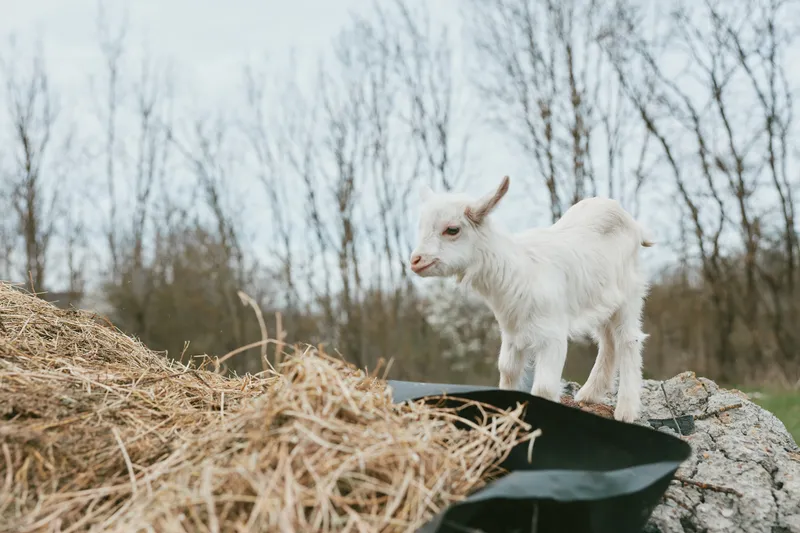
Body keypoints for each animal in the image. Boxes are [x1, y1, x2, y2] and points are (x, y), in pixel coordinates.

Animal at [409, 175, 652, 422]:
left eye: (452, 229)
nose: (415, 261)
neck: (519, 271)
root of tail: (633, 224)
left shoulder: (552, 335)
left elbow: (544, 387)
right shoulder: (511, 333)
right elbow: (507, 370)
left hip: (629, 295)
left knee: (628, 340)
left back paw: (626, 410)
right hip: (602, 301)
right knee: (608, 341)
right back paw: (589, 394)